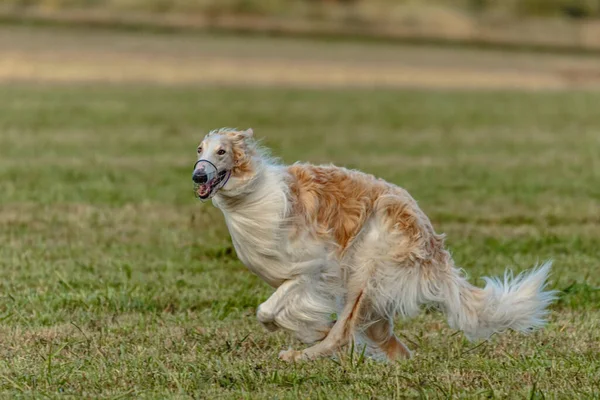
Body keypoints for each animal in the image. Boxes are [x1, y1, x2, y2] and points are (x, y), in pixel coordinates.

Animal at [192, 127, 556, 362]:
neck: (255, 194)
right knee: (396, 347)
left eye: (221, 151)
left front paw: (307, 329)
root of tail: (433, 245)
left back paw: (299, 355)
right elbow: (279, 312)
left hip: (368, 267)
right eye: (199, 150)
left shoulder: (312, 269)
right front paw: (307, 327)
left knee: (343, 333)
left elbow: (268, 310)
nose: (198, 176)